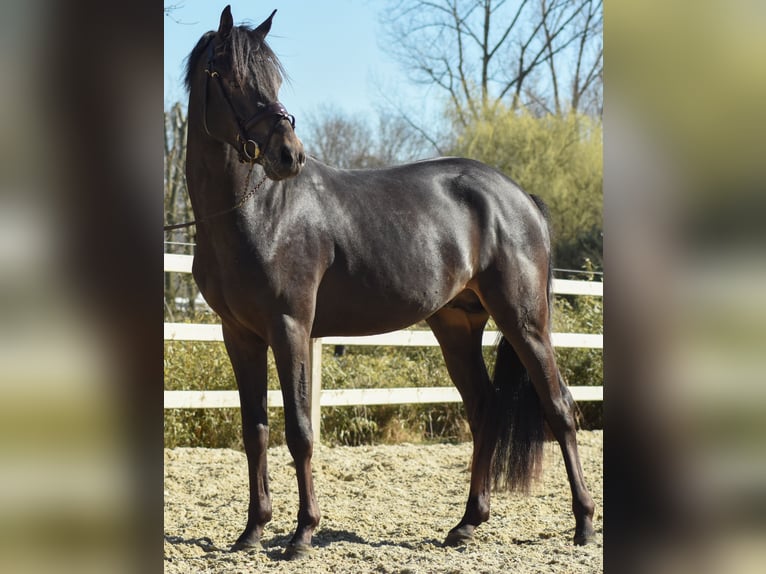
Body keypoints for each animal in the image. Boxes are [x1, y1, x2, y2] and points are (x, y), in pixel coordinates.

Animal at [181, 5, 595, 557]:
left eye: (273, 79)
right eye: (230, 77)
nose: (289, 155)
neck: (259, 212)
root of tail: (518, 196)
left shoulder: (290, 327)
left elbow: (300, 430)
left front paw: (302, 533)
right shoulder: (239, 335)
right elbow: (256, 430)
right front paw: (251, 532)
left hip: (524, 321)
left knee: (560, 408)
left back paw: (583, 525)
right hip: (457, 326)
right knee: (484, 410)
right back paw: (466, 524)